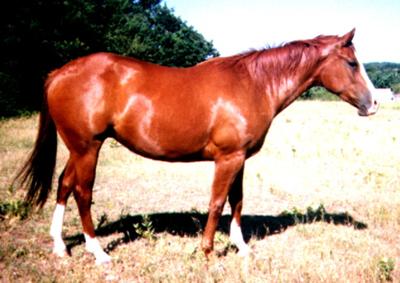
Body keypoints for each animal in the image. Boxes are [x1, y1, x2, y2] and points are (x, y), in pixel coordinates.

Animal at [14, 28, 378, 264]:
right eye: (352, 63)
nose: (374, 104)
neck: (254, 84)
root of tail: (59, 73)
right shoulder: (228, 159)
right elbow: (217, 203)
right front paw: (207, 251)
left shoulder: (240, 158)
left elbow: (237, 201)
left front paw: (242, 248)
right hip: (87, 148)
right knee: (82, 193)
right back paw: (98, 252)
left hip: (79, 148)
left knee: (63, 185)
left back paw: (60, 246)